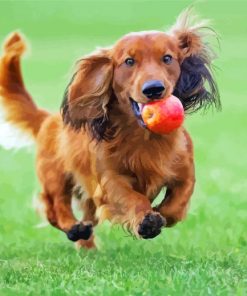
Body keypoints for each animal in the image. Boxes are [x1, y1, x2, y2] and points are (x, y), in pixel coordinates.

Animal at [0, 9, 220, 249]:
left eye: (167, 58)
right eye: (129, 61)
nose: (153, 89)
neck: (145, 138)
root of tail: (48, 118)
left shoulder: (185, 173)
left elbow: (177, 205)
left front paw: (160, 214)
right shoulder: (110, 181)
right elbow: (133, 198)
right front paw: (147, 220)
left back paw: (87, 244)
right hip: (55, 176)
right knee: (54, 206)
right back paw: (73, 228)